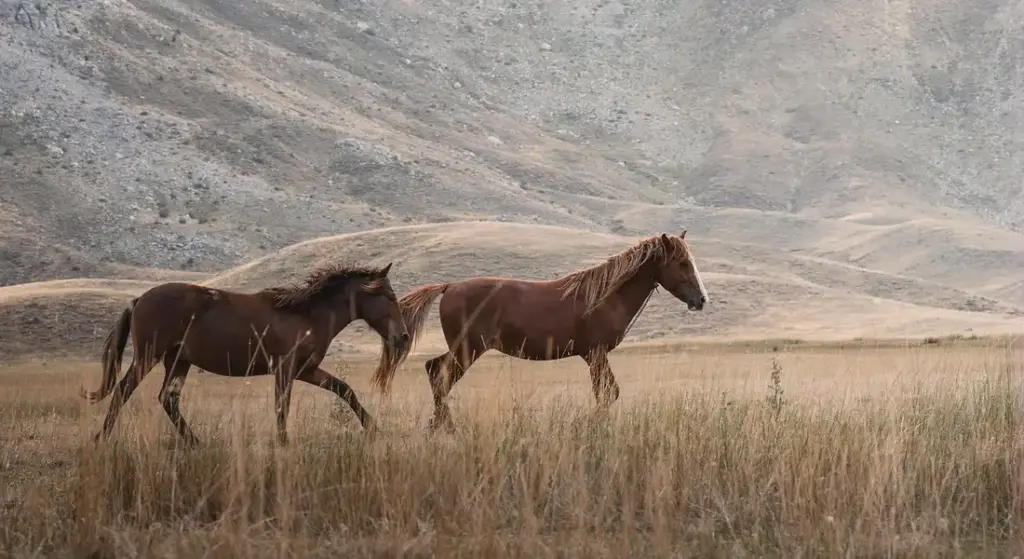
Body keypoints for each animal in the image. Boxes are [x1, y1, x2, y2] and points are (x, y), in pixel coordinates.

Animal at [80, 262, 410, 446]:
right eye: (388, 296)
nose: (404, 337)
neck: (306, 315)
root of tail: (138, 299)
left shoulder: (306, 370)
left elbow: (345, 390)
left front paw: (374, 429)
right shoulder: (285, 369)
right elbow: (282, 406)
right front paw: (283, 442)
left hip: (178, 360)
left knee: (168, 399)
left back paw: (195, 442)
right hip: (148, 356)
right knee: (123, 391)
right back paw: (101, 438)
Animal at [370, 231, 709, 432]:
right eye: (681, 263)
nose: (701, 300)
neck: (604, 296)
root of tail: (449, 286)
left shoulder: (593, 356)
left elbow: (607, 393)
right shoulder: (595, 354)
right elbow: (607, 394)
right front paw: (590, 424)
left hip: (464, 348)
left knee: (433, 371)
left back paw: (439, 425)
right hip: (468, 349)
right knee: (439, 376)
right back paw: (446, 427)